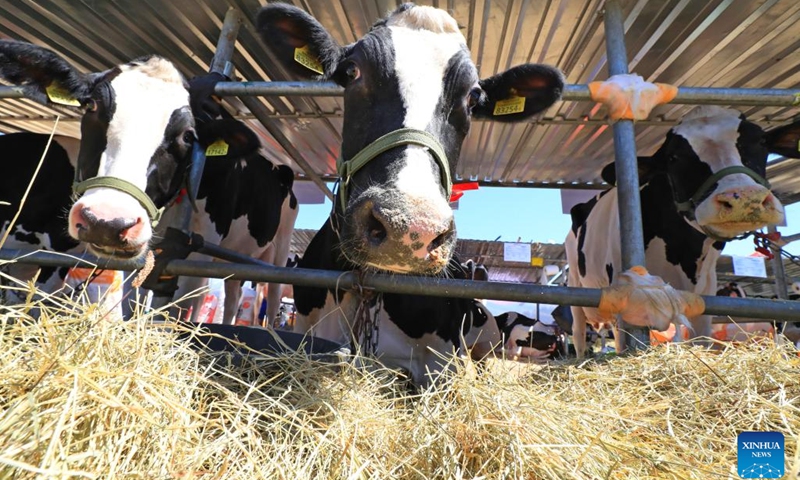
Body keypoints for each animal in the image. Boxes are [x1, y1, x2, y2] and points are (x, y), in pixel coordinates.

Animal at [564, 107, 800, 358]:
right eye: (673, 157)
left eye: (761, 141)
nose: (743, 197)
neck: (683, 253)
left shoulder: (705, 291)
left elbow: (699, 340)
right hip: (576, 286)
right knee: (579, 333)